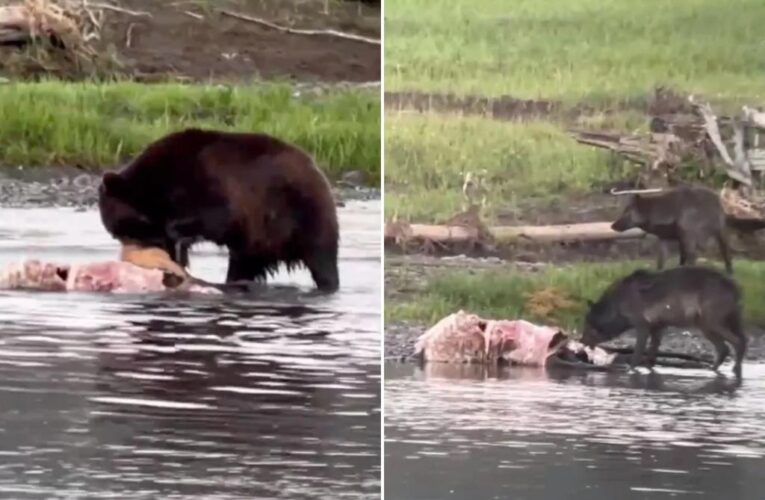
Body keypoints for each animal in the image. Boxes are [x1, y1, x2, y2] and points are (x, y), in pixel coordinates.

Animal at [97, 128, 340, 292]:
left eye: (127, 228)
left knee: (322, 259)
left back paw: (328, 284)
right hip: (257, 243)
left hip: (302, 213)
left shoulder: (210, 182)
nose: (131, 253)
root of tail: (315, 168)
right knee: (243, 265)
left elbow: (216, 215)